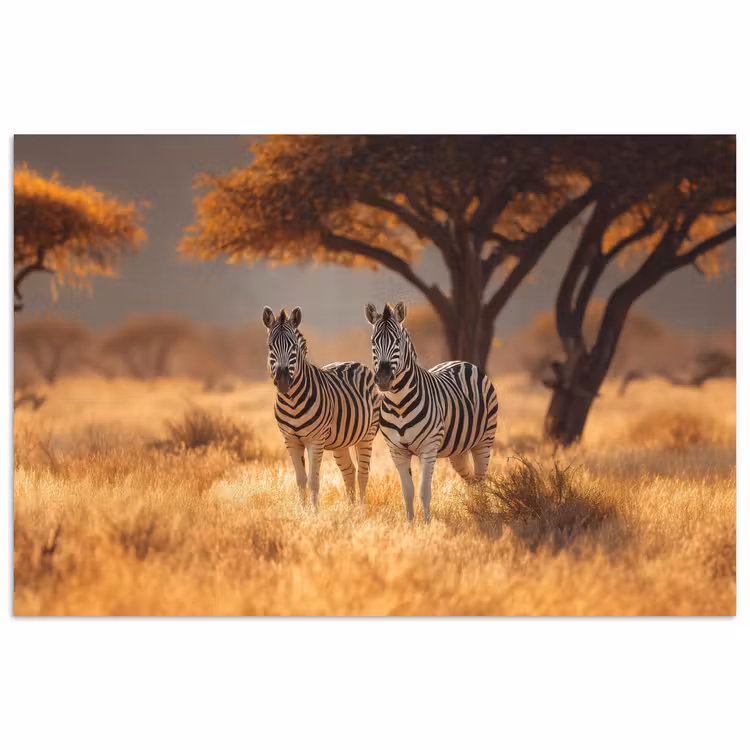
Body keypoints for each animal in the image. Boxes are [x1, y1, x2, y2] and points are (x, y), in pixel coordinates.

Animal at [263, 306, 381, 509]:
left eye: (293, 347)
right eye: (271, 346)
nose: (284, 382)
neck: (292, 401)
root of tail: (356, 363)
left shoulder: (315, 440)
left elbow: (313, 481)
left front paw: (314, 513)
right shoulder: (290, 440)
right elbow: (300, 480)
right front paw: (302, 511)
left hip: (367, 434)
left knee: (362, 474)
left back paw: (361, 510)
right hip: (340, 441)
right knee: (349, 471)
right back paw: (350, 510)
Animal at [365, 301, 498, 523]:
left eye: (398, 341)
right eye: (374, 342)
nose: (383, 379)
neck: (399, 404)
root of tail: (463, 362)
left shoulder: (428, 448)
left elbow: (424, 492)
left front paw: (427, 524)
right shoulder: (396, 451)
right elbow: (407, 491)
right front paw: (410, 524)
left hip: (484, 441)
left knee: (480, 480)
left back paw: (483, 513)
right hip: (458, 450)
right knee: (470, 479)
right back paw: (474, 509)